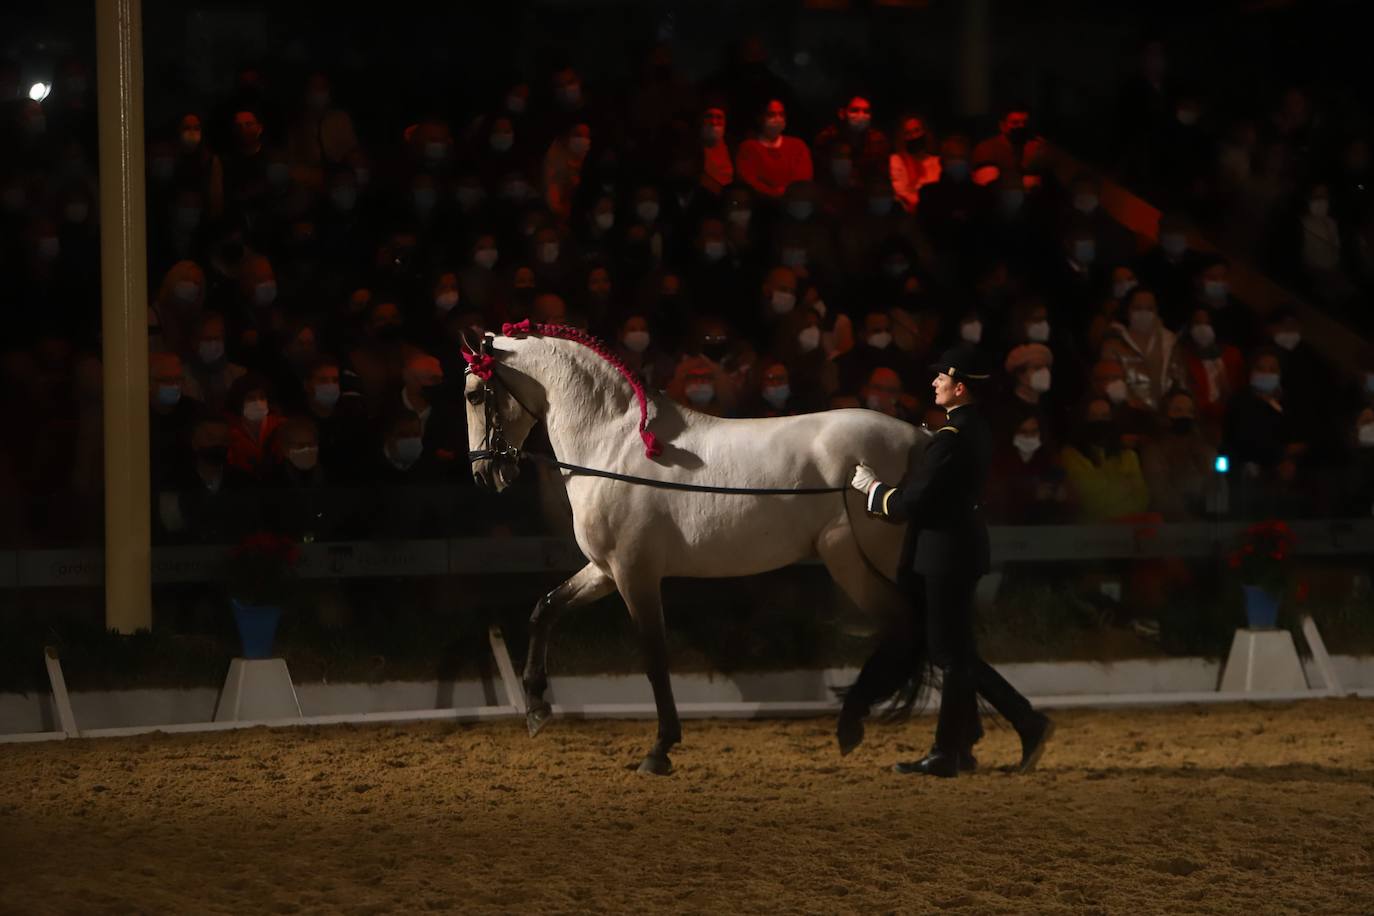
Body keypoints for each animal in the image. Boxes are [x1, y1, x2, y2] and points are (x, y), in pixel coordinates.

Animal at [467, 322, 928, 774]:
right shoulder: (604, 570)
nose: (485, 473)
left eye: (473, 394)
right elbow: (544, 609)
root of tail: (918, 437)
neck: (610, 445)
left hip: (855, 560)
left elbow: (655, 659)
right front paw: (536, 709)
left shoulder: (634, 572)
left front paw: (660, 749)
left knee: (910, 625)